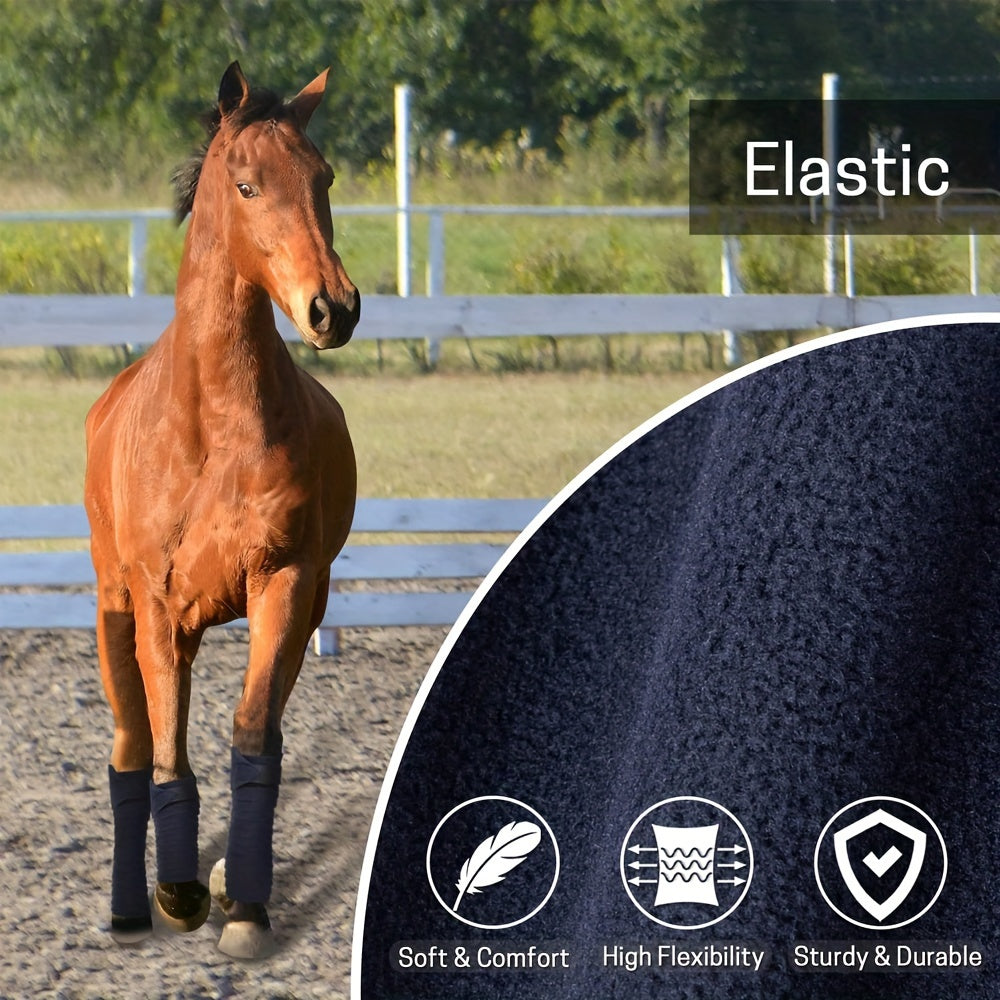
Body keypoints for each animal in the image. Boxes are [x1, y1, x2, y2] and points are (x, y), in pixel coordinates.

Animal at [83, 61, 360, 959]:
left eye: (323, 178)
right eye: (246, 185)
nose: (333, 308)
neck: (212, 427)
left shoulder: (284, 586)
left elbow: (251, 737)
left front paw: (244, 907)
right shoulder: (156, 604)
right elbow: (166, 751)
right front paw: (177, 893)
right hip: (116, 611)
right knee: (131, 746)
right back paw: (133, 908)